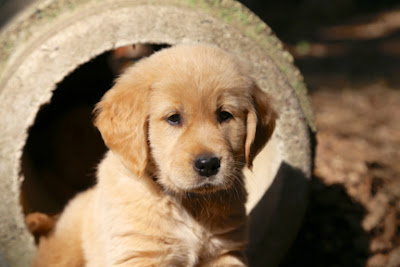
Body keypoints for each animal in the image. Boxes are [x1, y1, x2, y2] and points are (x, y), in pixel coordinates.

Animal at [32, 45, 276, 266]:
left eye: (225, 115)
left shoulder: (225, 252)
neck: (188, 204)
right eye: (174, 118)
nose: (208, 164)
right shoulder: (140, 254)